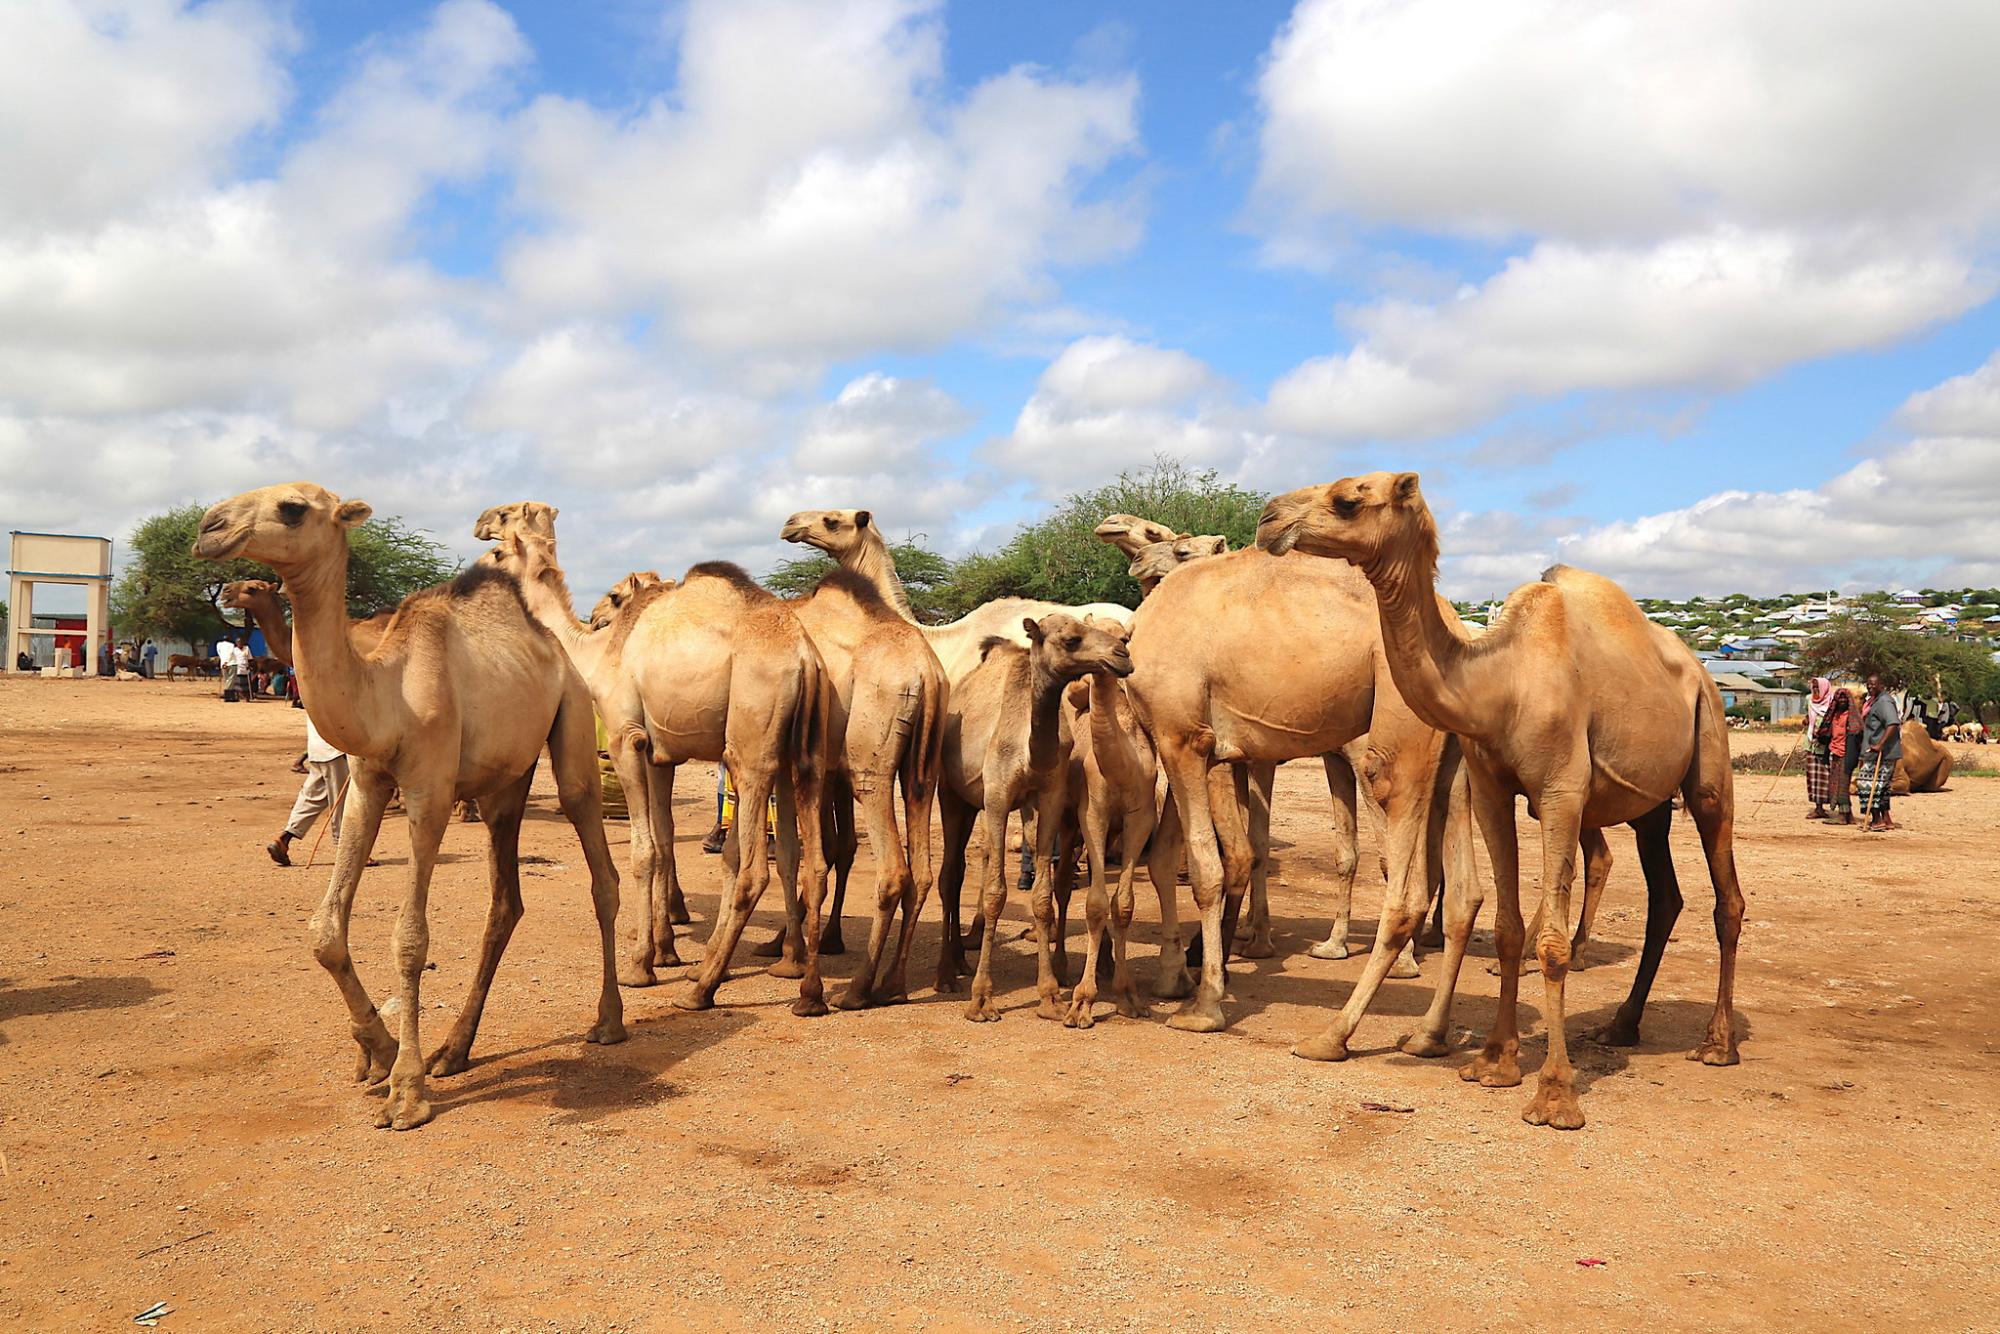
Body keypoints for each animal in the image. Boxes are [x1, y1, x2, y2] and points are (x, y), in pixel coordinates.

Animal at [193, 480, 624, 1128]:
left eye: (292, 508)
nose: (207, 529)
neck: (387, 691)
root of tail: (557, 647)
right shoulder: (369, 780)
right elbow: (325, 928)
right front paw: (377, 1050)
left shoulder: (429, 788)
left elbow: (411, 937)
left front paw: (405, 1092)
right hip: (504, 784)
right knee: (505, 903)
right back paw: (455, 1049)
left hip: (572, 721)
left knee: (600, 869)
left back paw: (608, 1021)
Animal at [472, 506, 832, 1016]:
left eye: (500, 548)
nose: (479, 544)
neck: (597, 652)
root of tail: (804, 657)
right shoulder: (662, 753)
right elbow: (663, 844)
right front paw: (666, 949)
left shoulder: (627, 738)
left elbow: (643, 852)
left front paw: (641, 964)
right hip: (801, 753)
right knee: (807, 860)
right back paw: (802, 983)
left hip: (750, 744)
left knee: (752, 868)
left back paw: (702, 989)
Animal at [932, 616, 1128, 1024]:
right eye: (1071, 639)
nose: (1121, 653)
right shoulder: (996, 797)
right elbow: (995, 893)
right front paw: (982, 1000)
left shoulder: (1048, 798)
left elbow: (1041, 896)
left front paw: (1051, 997)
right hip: (951, 793)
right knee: (950, 875)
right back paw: (946, 974)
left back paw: (959, 961)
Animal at [1256, 474, 1744, 1136]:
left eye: (1349, 499)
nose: (1266, 518)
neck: (1501, 683)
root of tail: (1699, 668)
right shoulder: (1489, 787)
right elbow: (1509, 928)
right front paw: (1493, 1062)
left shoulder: (1561, 792)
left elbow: (1552, 945)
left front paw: (1555, 1097)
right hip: (1649, 805)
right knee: (1665, 897)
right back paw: (1621, 1026)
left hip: (1710, 750)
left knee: (1727, 895)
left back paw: (1718, 1044)